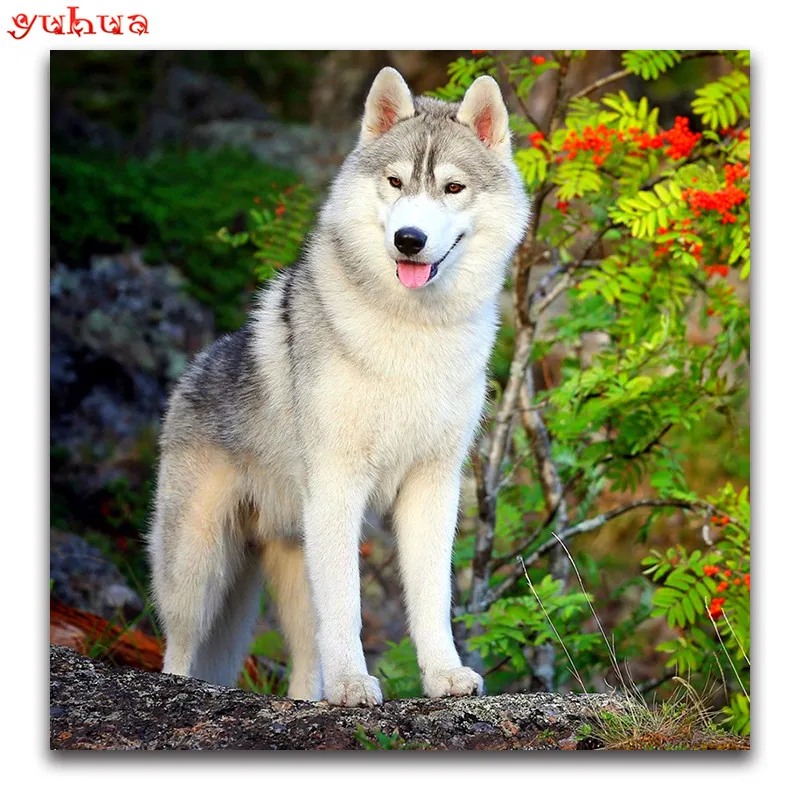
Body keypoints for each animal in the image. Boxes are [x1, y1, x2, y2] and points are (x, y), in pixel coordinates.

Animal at [147, 67, 530, 706]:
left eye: (452, 188)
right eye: (396, 182)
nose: (408, 239)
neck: (412, 337)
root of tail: (195, 368)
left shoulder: (434, 485)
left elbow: (432, 599)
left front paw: (444, 675)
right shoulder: (337, 484)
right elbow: (348, 608)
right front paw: (354, 684)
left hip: (290, 567)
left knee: (305, 666)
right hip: (199, 572)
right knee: (179, 652)